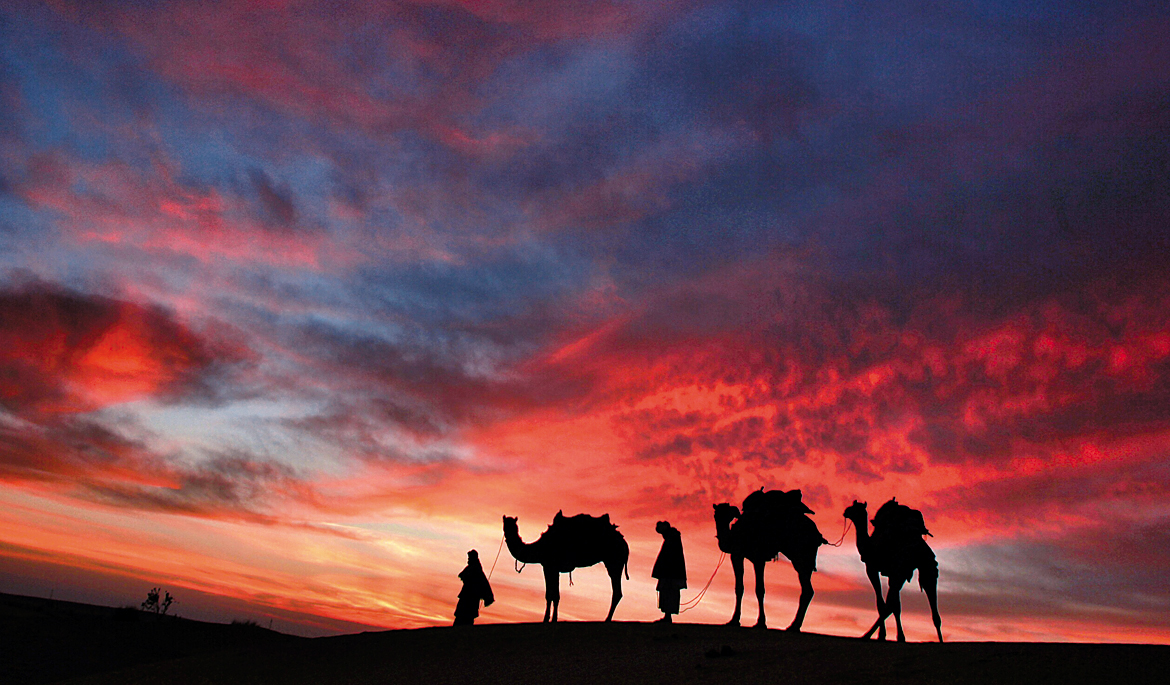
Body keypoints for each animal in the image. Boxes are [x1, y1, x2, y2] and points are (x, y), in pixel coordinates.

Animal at [706, 487, 828, 632]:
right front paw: (740, 620)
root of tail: (817, 534)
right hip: (805, 560)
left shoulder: (749, 556)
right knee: (807, 590)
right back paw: (794, 626)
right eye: (716, 515)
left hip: (800, 557)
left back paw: (793, 626)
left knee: (807, 590)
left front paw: (756, 622)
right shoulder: (745, 556)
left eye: (728, 515)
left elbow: (756, 589)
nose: (719, 531)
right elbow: (745, 587)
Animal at [842, 496, 940, 641]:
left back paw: (866, 635)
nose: (846, 511)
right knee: (933, 607)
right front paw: (900, 637)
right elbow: (896, 606)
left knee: (888, 606)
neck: (868, 545)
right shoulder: (895, 574)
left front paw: (883, 635)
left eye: (855, 508)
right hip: (926, 567)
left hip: (901, 567)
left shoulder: (872, 568)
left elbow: (881, 603)